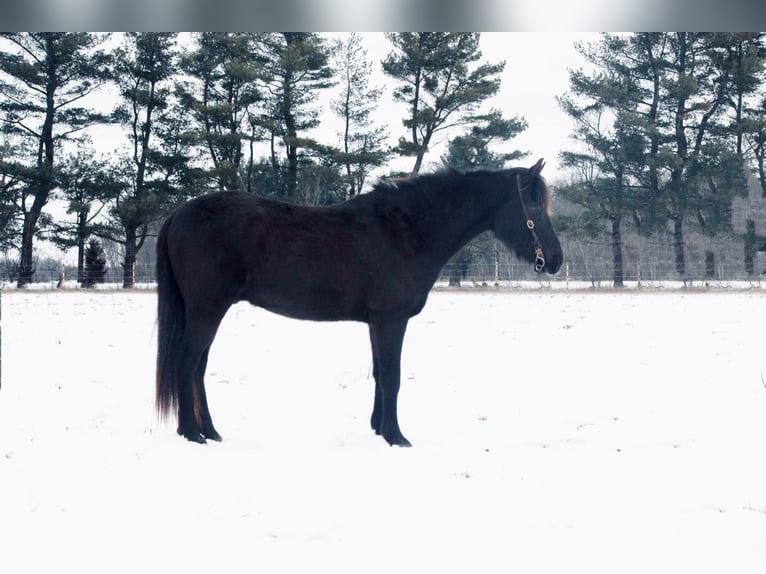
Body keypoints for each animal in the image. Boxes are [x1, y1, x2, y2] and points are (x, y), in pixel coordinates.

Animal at [156, 160, 564, 448]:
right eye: (534, 209)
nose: (556, 260)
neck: (406, 231)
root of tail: (178, 213)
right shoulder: (390, 320)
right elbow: (393, 376)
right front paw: (397, 436)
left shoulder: (376, 323)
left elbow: (381, 375)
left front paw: (379, 429)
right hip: (207, 310)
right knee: (187, 363)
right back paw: (192, 433)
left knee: (197, 369)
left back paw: (210, 431)